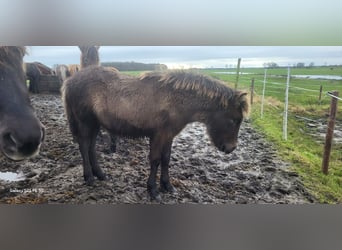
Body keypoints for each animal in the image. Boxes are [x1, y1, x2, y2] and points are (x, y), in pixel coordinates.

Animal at [61, 67, 248, 201]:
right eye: (234, 120)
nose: (231, 148)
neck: (174, 100)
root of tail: (70, 81)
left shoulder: (169, 135)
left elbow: (166, 159)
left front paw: (167, 186)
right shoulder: (159, 135)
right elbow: (156, 160)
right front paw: (153, 190)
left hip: (95, 124)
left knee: (91, 147)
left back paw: (100, 174)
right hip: (86, 123)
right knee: (84, 146)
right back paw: (89, 177)